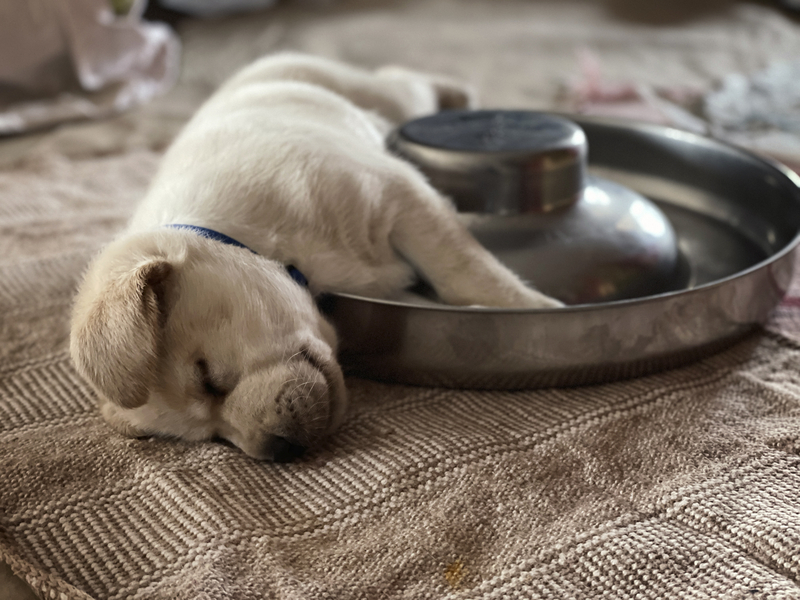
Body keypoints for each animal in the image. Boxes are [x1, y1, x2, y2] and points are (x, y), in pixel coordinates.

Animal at [70, 54, 564, 462]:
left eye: (207, 378)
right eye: (212, 437)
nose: (279, 452)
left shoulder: (401, 197)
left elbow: (465, 272)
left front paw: (538, 309)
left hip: (372, 94)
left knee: (403, 80)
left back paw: (461, 95)